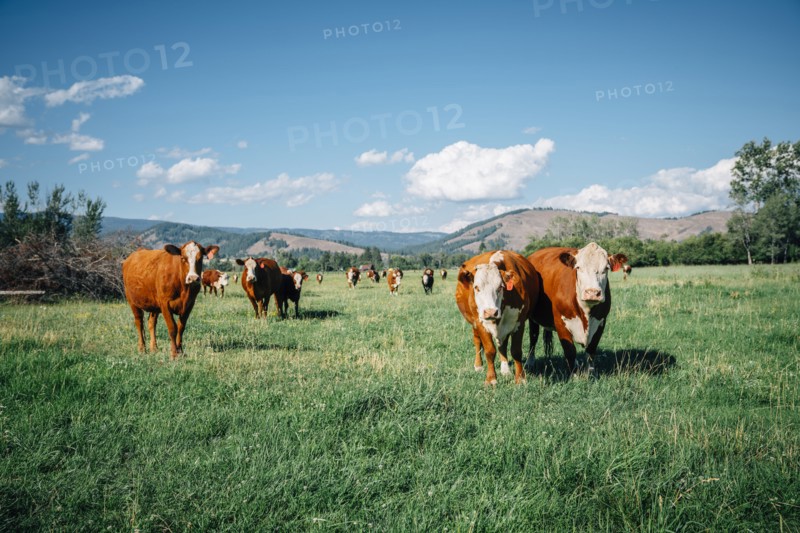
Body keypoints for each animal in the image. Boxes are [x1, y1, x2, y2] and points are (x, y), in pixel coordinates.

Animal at [455, 250, 539, 384]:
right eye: (476, 287)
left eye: (500, 287)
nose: (490, 312)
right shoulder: (480, 323)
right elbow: (490, 351)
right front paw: (491, 379)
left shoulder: (519, 323)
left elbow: (516, 351)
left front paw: (520, 378)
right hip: (474, 323)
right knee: (477, 341)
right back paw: (478, 365)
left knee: (506, 343)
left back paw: (506, 369)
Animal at [525, 242, 628, 378]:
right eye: (578, 268)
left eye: (606, 268)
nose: (592, 293)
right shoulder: (561, 322)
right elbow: (570, 351)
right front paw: (573, 374)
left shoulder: (601, 322)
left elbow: (591, 350)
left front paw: (590, 373)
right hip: (533, 318)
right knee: (533, 338)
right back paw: (529, 363)